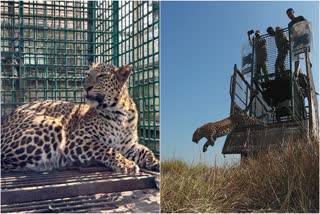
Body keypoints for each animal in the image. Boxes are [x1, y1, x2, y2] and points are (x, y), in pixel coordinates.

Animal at [0, 63, 159, 174]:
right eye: (87, 74)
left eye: (102, 75)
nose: (86, 87)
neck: (121, 113)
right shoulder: (78, 139)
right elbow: (106, 149)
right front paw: (126, 164)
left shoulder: (129, 146)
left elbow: (147, 151)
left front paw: (156, 162)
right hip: (51, 123)